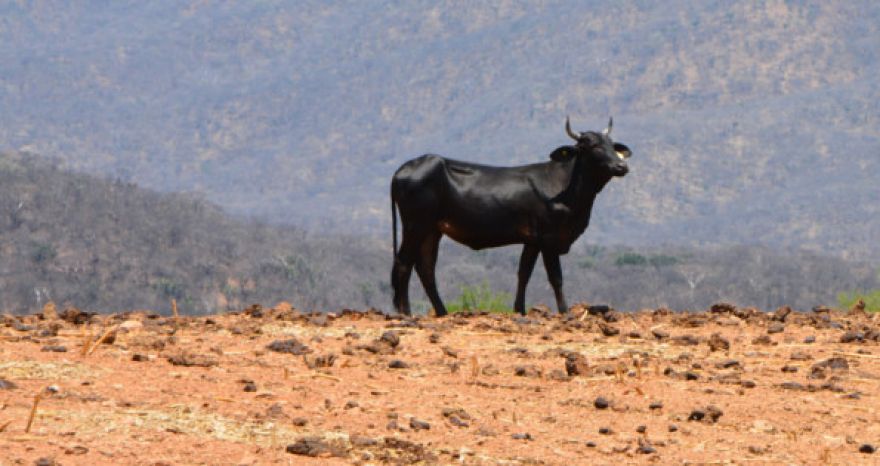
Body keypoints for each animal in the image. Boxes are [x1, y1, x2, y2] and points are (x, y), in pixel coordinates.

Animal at [388, 118, 628, 318]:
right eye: (591, 145)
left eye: (612, 145)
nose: (621, 166)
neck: (566, 187)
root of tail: (406, 167)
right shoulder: (549, 238)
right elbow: (556, 278)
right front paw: (565, 312)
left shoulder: (532, 240)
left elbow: (523, 273)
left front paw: (519, 310)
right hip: (415, 225)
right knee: (404, 263)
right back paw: (406, 313)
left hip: (432, 230)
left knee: (425, 268)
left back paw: (442, 312)